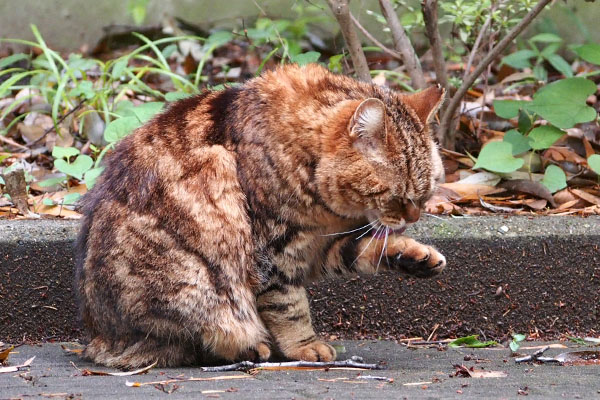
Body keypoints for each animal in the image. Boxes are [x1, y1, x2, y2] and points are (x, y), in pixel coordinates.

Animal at [75, 63, 446, 368]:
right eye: (398, 196)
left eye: (426, 192)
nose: (415, 216)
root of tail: (99, 339)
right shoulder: (274, 252)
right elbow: (289, 306)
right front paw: (304, 346)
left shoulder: (320, 245)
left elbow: (368, 249)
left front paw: (414, 256)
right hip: (191, 280)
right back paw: (251, 347)